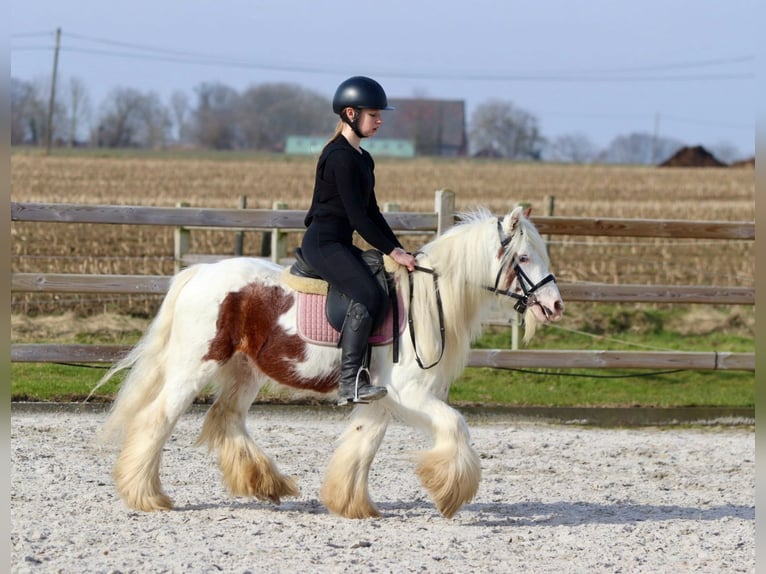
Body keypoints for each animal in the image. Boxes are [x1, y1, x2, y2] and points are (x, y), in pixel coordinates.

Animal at [94, 206, 564, 520]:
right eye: (523, 258)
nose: (556, 306)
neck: (426, 301)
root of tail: (198, 274)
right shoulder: (410, 393)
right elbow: (457, 426)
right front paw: (450, 492)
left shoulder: (379, 398)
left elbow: (361, 445)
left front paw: (352, 504)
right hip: (195, 368)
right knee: (158, 419)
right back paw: (147, 496)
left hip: (245, 371)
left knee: (226, 417)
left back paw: (266, 483)